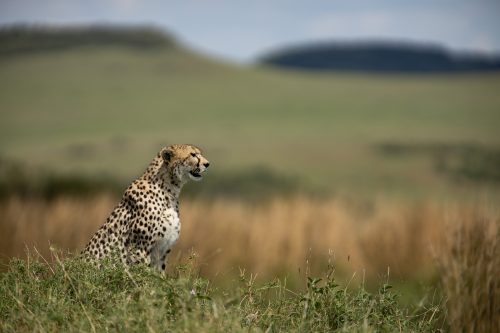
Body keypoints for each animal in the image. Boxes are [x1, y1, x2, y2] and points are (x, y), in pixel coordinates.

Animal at [81, 144, 209, 272]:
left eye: (199, 153)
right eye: (193, 154)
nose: (207, 164)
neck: (169, 190)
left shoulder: (162, 251)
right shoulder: (140, 249)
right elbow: (144, 273)